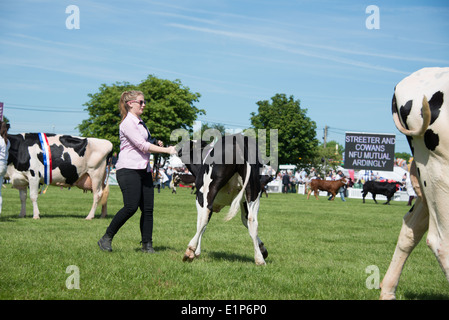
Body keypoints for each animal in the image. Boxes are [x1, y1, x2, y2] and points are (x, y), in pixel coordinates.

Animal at [177, 134, 268, 266]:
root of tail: (237, 137)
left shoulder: (201, 198)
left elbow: (202, 224)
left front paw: (196, 252)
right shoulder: (243, 202)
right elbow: (245, 221)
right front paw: (262, 249)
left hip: (208, 190)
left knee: (204, 216)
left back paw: (189, 251)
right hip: (253, 190)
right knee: (253, 220)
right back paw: (259, 260)